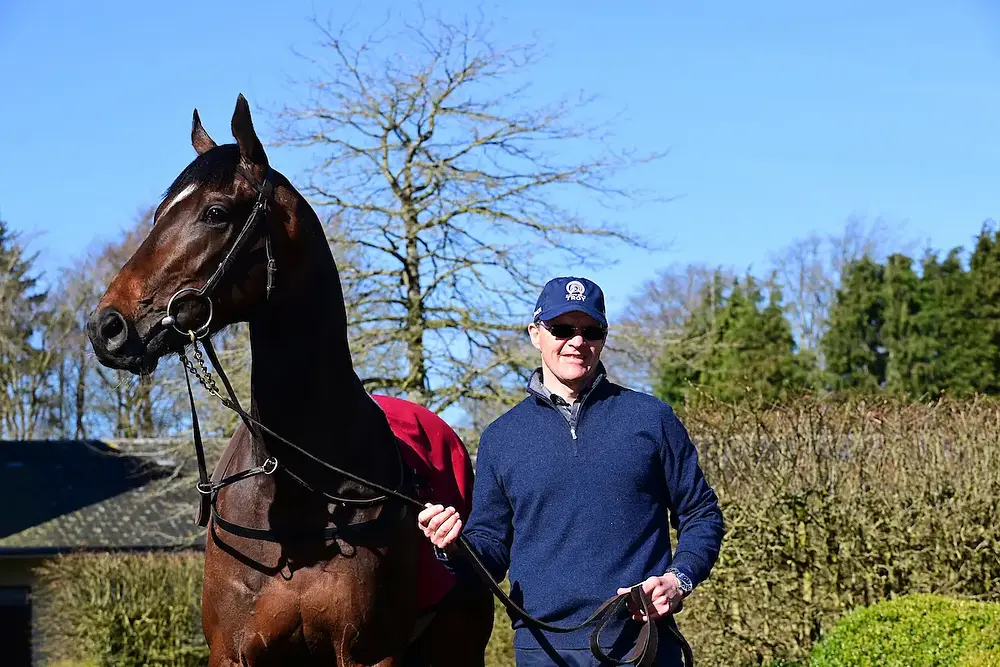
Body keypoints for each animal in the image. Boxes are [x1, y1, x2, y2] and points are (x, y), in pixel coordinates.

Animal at [86, 94, 495, 666]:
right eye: (160, 215)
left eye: (215, 213)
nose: (108, 327)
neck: (301, 485)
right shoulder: (233, 654)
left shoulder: (368, 655)